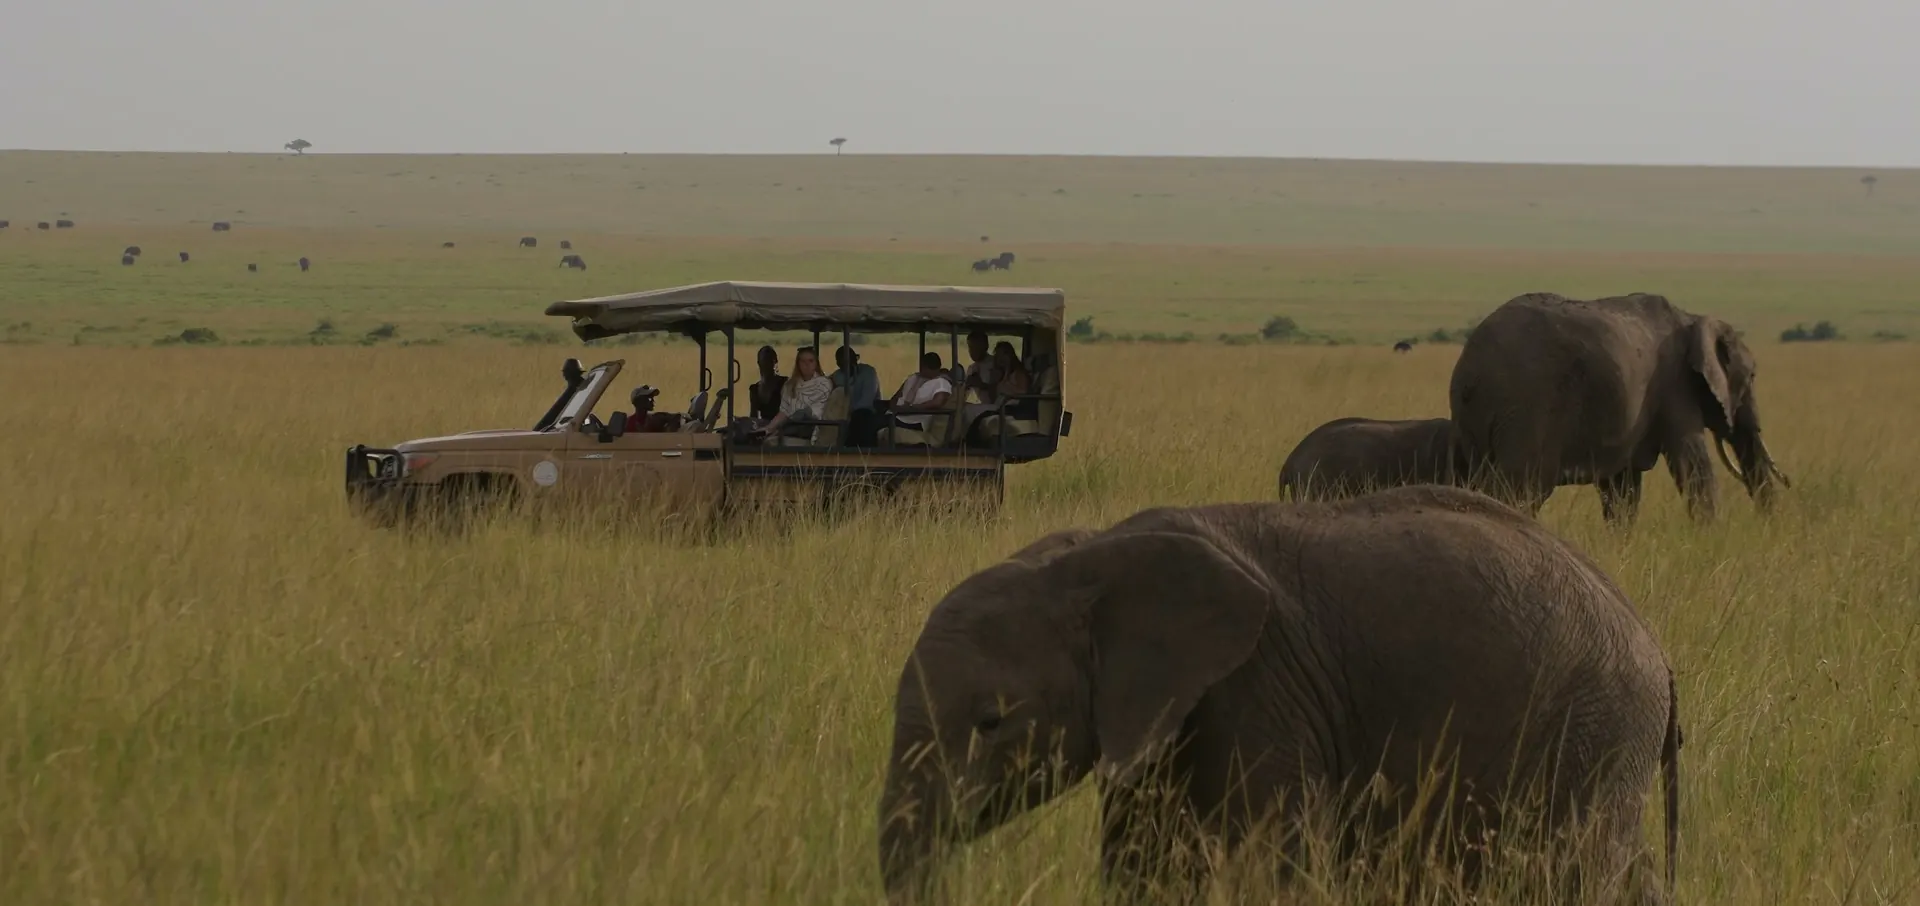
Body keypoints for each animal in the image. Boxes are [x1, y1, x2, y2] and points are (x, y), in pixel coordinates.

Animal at [877, 486, 1680, 906]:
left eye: (992, 723)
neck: (1090, 556)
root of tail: (1660, 653)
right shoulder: (1158, 713)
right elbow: (1138, 862)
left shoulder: (1259, 689)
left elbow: (1271, 864)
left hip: (1594, 734)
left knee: (1576, 873)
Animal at [1449, 291, 1789, 524]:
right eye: (1752, 377)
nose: (1766, 529)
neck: (1693, 319)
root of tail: (1470, 369)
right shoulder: (1674, 387)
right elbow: (1692, 464)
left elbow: (1622, 489)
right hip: (1526, 409)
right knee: (1521, 488)